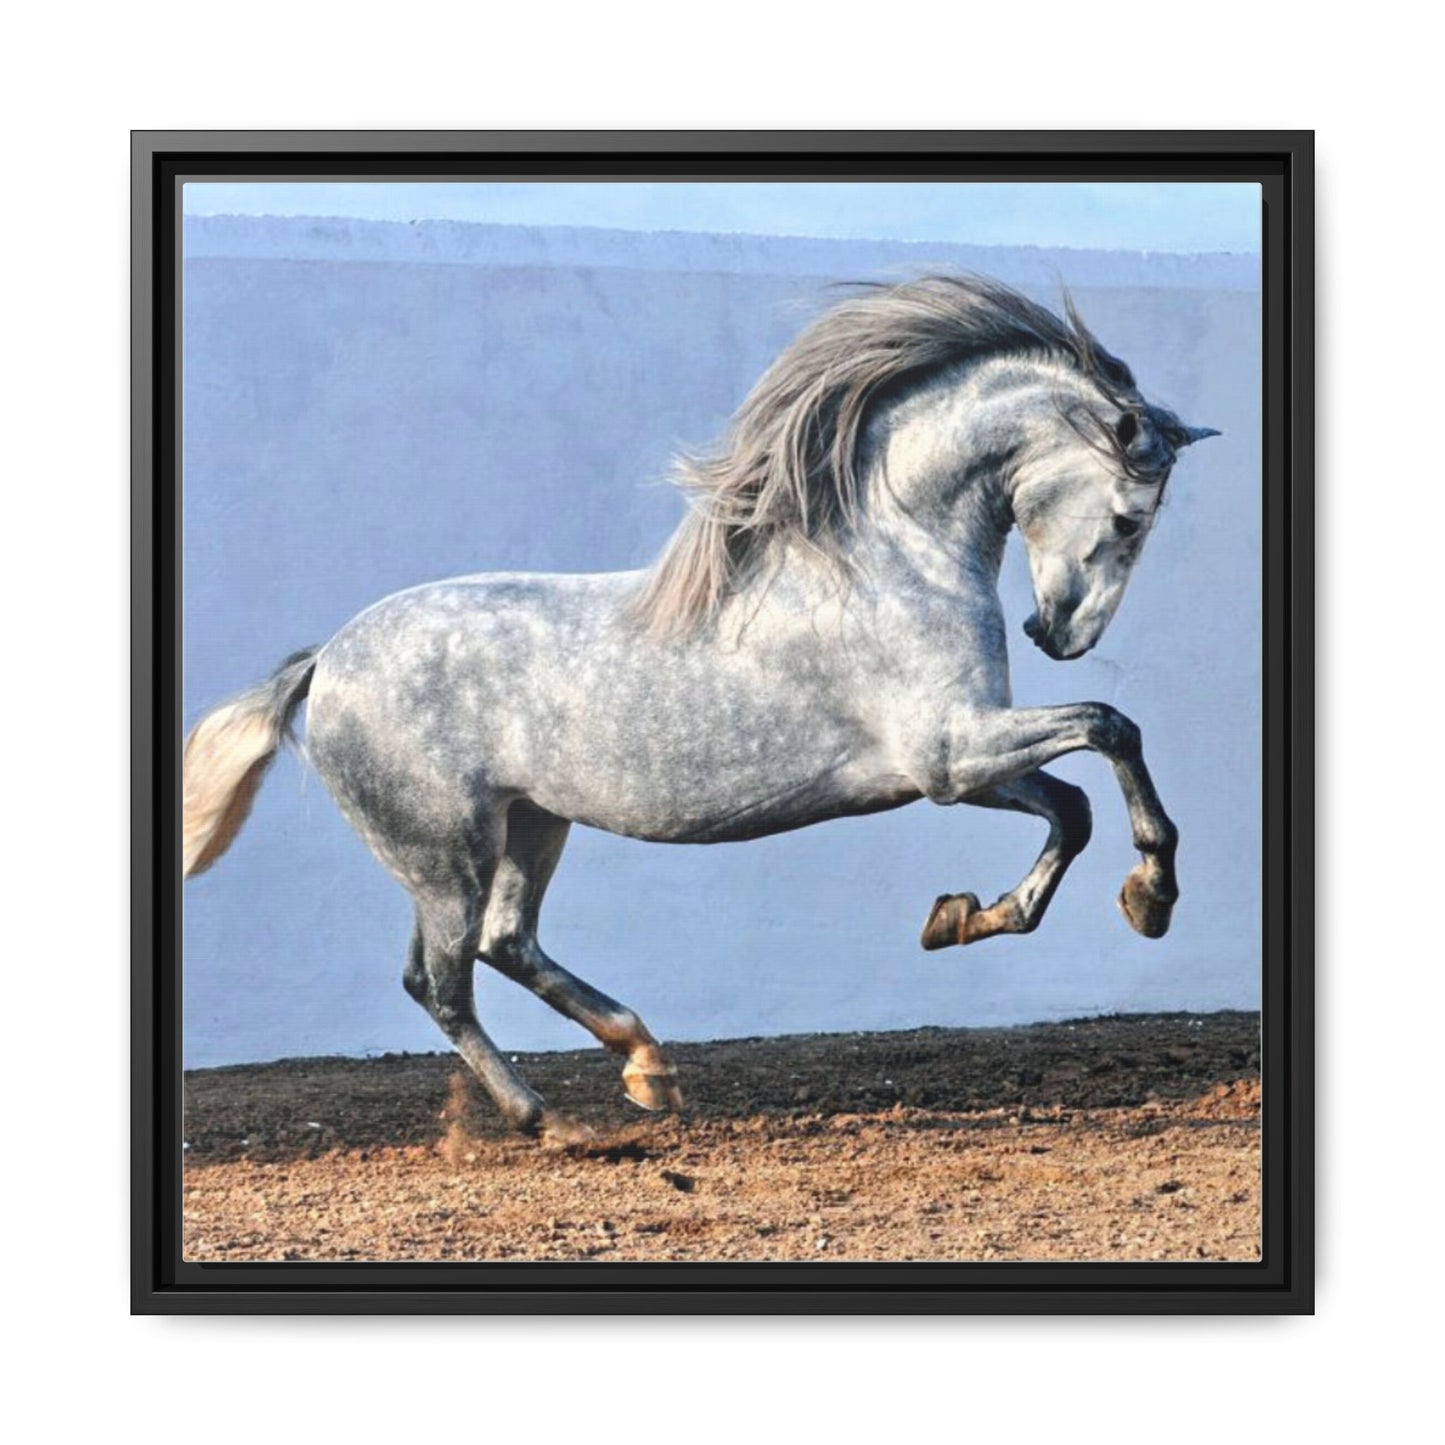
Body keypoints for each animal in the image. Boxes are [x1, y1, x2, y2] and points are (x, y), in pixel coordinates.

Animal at [181, 273, 1218, 1144]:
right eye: (1128, 517)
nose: (1058, 634)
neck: (888, 558)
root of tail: (325, 663)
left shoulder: (948, 767)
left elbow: (1072, 805)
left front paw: (966, 916)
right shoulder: (948, 753)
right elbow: (1110, 727)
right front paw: (1152, 896)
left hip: (531, 824)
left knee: (506, 942)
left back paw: (647, 1066)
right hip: (443, 854)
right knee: (440, 980)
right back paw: (547, 1118)